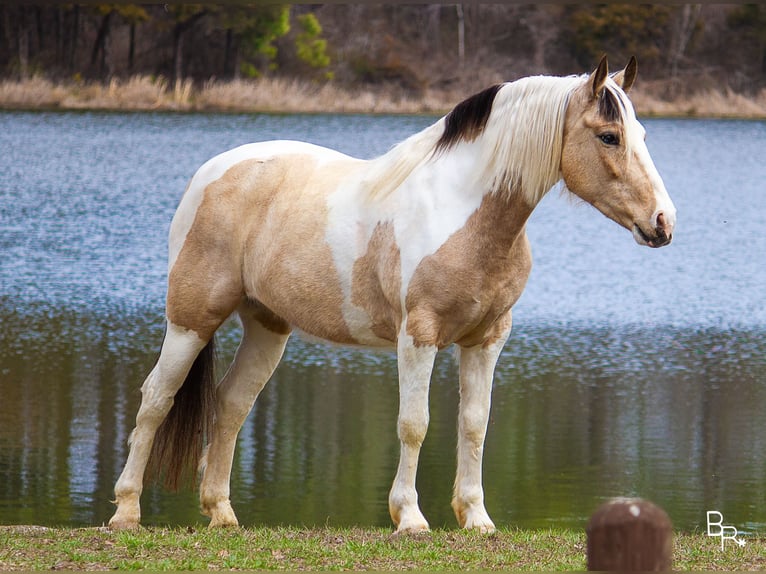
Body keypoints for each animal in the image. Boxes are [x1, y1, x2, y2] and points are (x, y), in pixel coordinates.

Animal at [109, 58, 680, 536]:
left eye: (641, 134)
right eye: (608, 136)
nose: (663, 223)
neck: (462, 212)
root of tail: (211, 172)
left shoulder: (487, 340)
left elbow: (474, 426)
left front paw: (476, 518)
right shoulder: (418, 336)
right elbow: (414, 425)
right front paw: (409, 518)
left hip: (266, 327)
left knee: (230, 404)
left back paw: (222, 514)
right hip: (191, 320)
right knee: (155, 399)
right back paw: (126, 512)